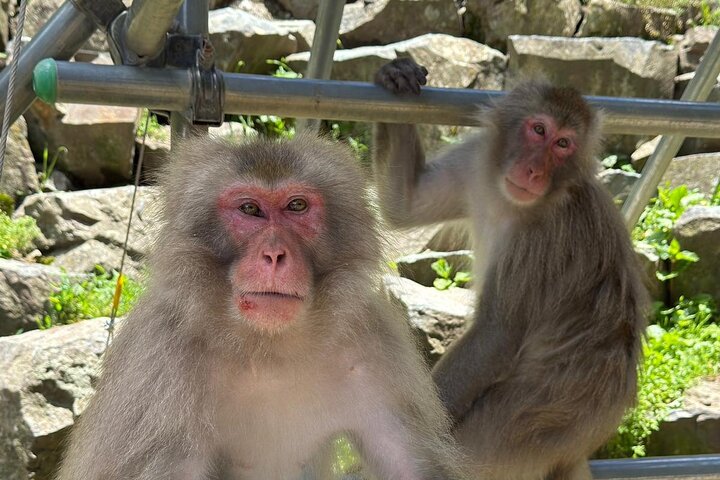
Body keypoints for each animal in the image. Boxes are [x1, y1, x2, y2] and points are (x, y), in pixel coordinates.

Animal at [55, 135, 466, 480]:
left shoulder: (374, 344)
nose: (274, 254)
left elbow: (413, 466)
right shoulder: (157, 365)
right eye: (250, 209)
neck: (266, 350)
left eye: (297, 205)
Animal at [373, 58, 649, 480]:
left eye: (563, 144)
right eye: (539, 130)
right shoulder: (476, 161)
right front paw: (397, 76)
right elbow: (405, 204)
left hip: (528, 425)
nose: (535, 171)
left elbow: (496, 336)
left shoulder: (542, 239)